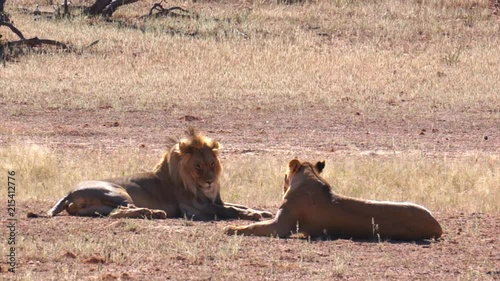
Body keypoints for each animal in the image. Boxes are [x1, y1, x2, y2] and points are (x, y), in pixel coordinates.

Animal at [46, 128, 272, 220]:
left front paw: (261, 211)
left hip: (98, 208)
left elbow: (239, 205)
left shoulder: (215, 200)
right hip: (117, 192)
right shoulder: (193, 209)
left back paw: (153, 213)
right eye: (197, 166)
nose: (209, 182)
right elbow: (231, 210)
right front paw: (254, 215)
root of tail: (69, 192)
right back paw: (155, 212)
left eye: (211, 164)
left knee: (115, 213)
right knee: (122, 210)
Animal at [226, 159, 442, 240]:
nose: (282, 185)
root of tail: (438, 225)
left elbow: (254, 226)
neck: (309, 179)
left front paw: (231, 228)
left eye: (284, 176)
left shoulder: (281, 226)